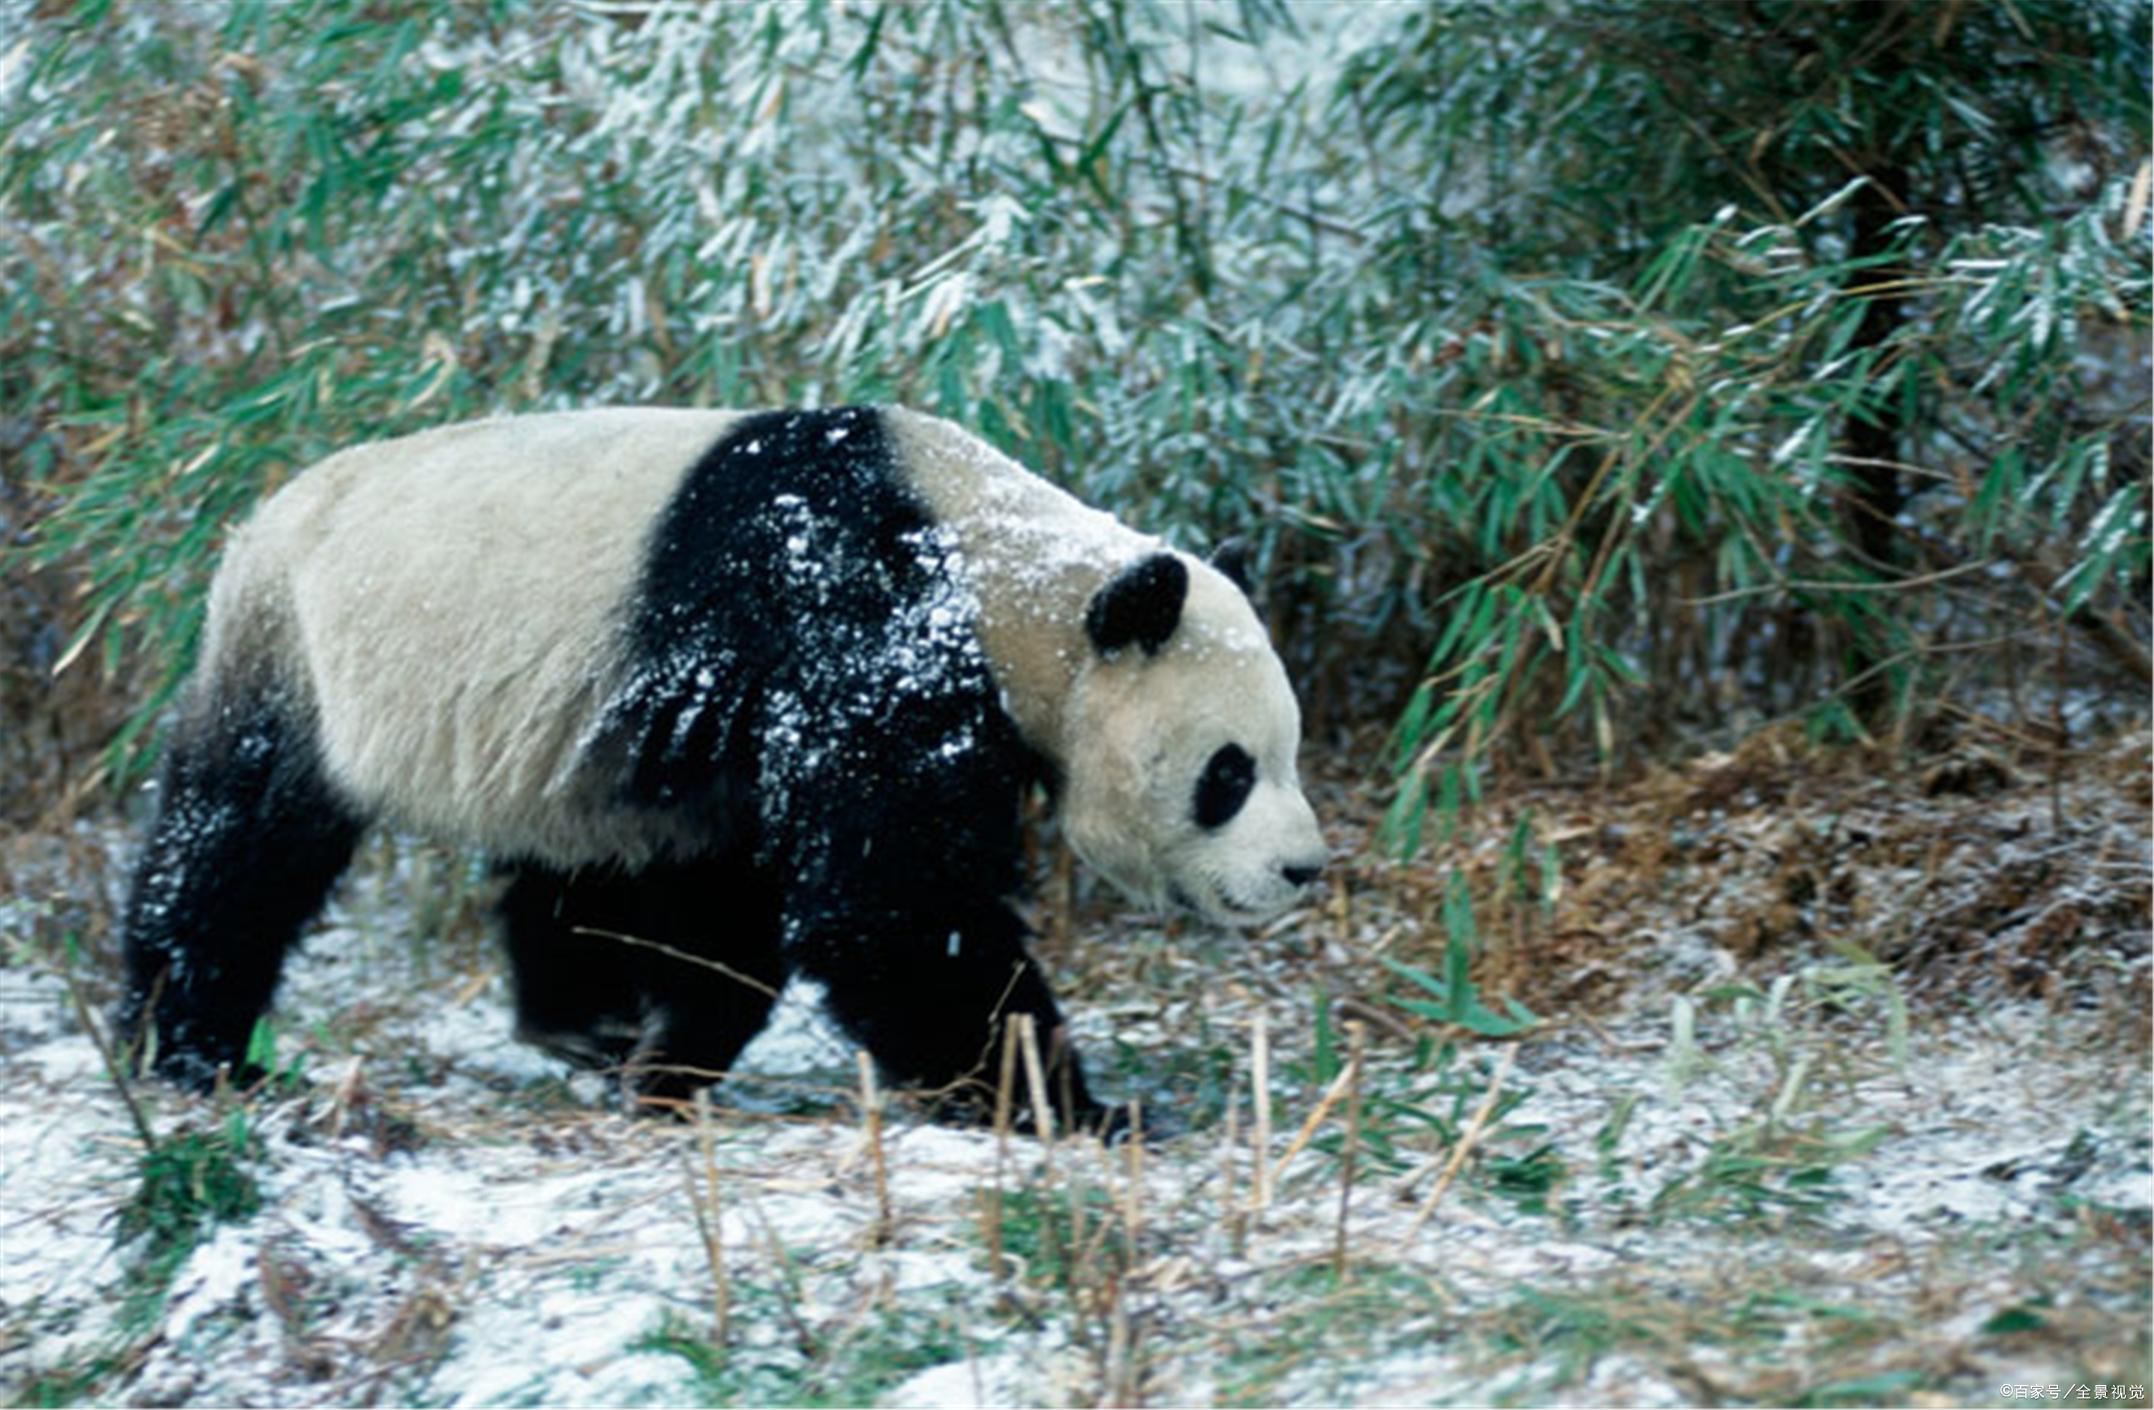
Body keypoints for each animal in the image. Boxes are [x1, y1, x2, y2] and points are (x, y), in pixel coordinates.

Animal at [126, 409, 1326, 1136]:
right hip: (298, 653)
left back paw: (588, 1024)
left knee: (569, 866)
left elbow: (740, 900)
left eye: (1288, 755)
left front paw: (670, 1070)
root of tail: (259, 518)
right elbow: (889, 908)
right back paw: (194, 1047)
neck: (1007, 574)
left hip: (557, 733)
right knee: (238, 843)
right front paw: (1070, 1108)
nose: (1303, 870)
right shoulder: (857, 621)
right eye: (1229, 774)